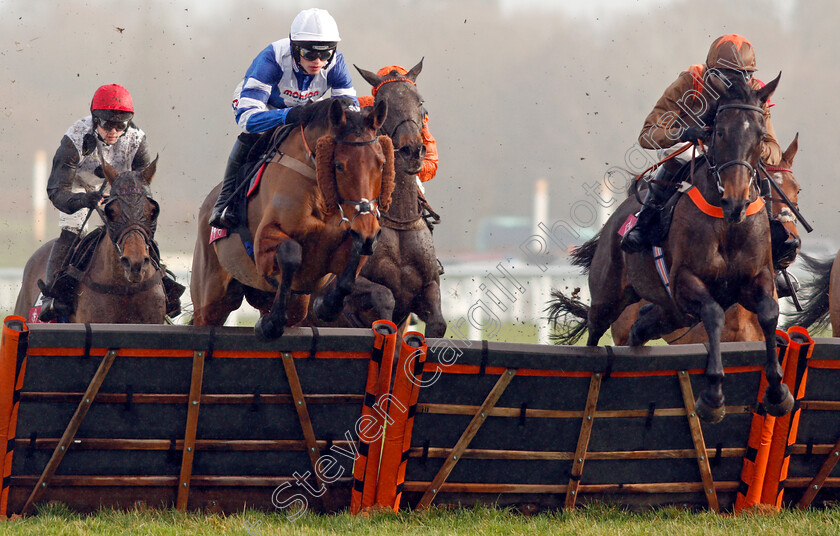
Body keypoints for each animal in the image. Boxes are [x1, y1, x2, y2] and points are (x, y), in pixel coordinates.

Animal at [192, 97, 396, 340]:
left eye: (382, 163)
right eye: (339, 165)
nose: (366, 228)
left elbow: (351, 268)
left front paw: (326, 306)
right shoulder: (264, 240)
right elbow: (290, 253)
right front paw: (271, 324)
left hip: (282, 301)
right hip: (211, 299)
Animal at [302, 60, 446, 338]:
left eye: (420, 101)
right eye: (384, 103)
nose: (412, 150)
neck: (398, 222)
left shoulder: (429, 286)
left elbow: (438, 323)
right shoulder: (350, 285)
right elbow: (384, 296)